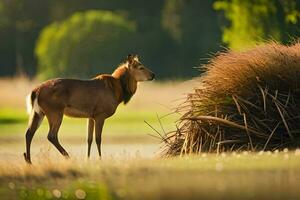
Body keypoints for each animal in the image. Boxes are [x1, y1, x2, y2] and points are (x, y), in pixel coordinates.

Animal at [23, 54, 155, 163]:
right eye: (140, 67)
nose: (153, 75)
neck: (118, 91)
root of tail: (35, 91)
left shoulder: (90, 116)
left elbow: (89, 139)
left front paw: (88, 159)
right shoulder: (100, 115)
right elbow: (98, 138)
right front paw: (100, 159)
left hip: (38, 112)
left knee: (29, 132)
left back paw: (28, 160)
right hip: (54, 112)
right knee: (51, 135)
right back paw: (67, 156)